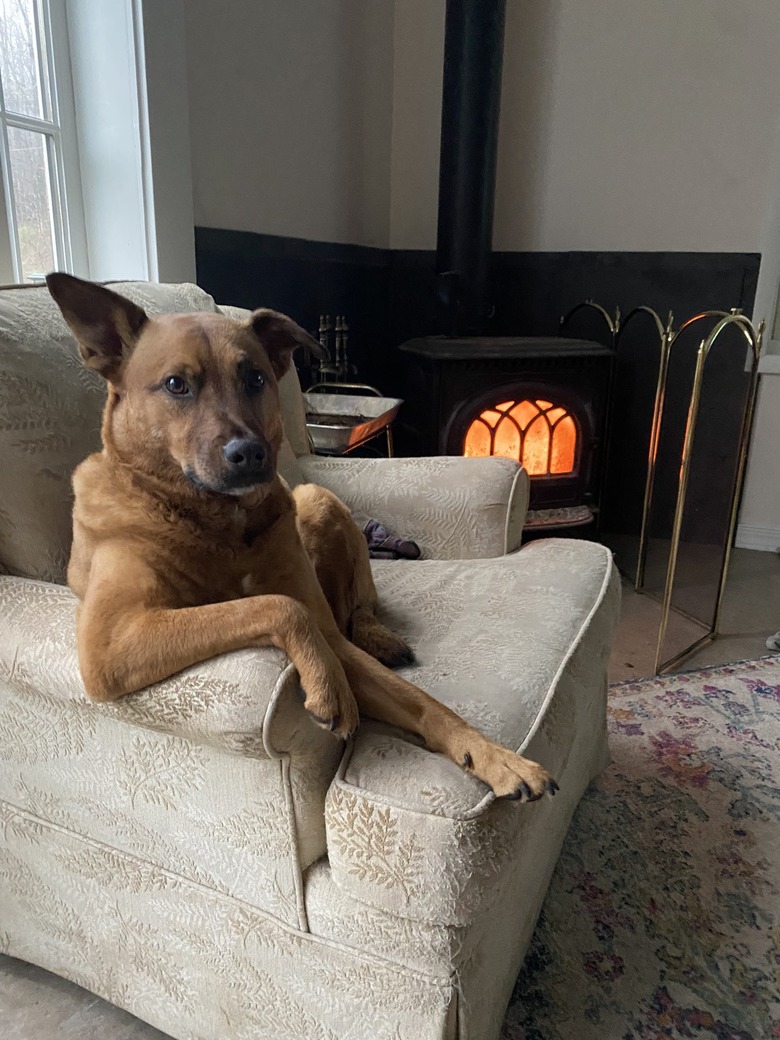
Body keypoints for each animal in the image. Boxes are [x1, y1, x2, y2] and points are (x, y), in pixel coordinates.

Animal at [47, 272, 557, 798]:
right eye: (175, 385)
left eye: (255, 379)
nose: (250, 453)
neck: (220, 522)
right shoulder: (112, 643)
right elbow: (277, 606)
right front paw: (332, 689)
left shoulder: (333, 640)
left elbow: (425, 703)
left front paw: (495, 757)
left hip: (318, 500)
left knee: (356, 607)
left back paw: (377, 633)